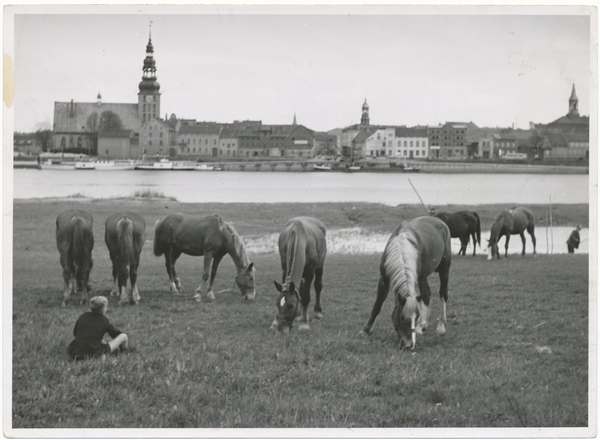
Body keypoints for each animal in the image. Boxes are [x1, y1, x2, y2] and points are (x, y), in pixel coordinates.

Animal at [358, 217, 452, 350]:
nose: (410, 345)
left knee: (443, 293)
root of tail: (440, 221)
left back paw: (441, 327)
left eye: (415, 318)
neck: (401, 247)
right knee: (426, 294)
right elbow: (377, 305)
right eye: (402, 318)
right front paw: (366, 330)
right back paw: (423, 325)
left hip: (444, 269)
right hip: (423, 276)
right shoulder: (384, 280)